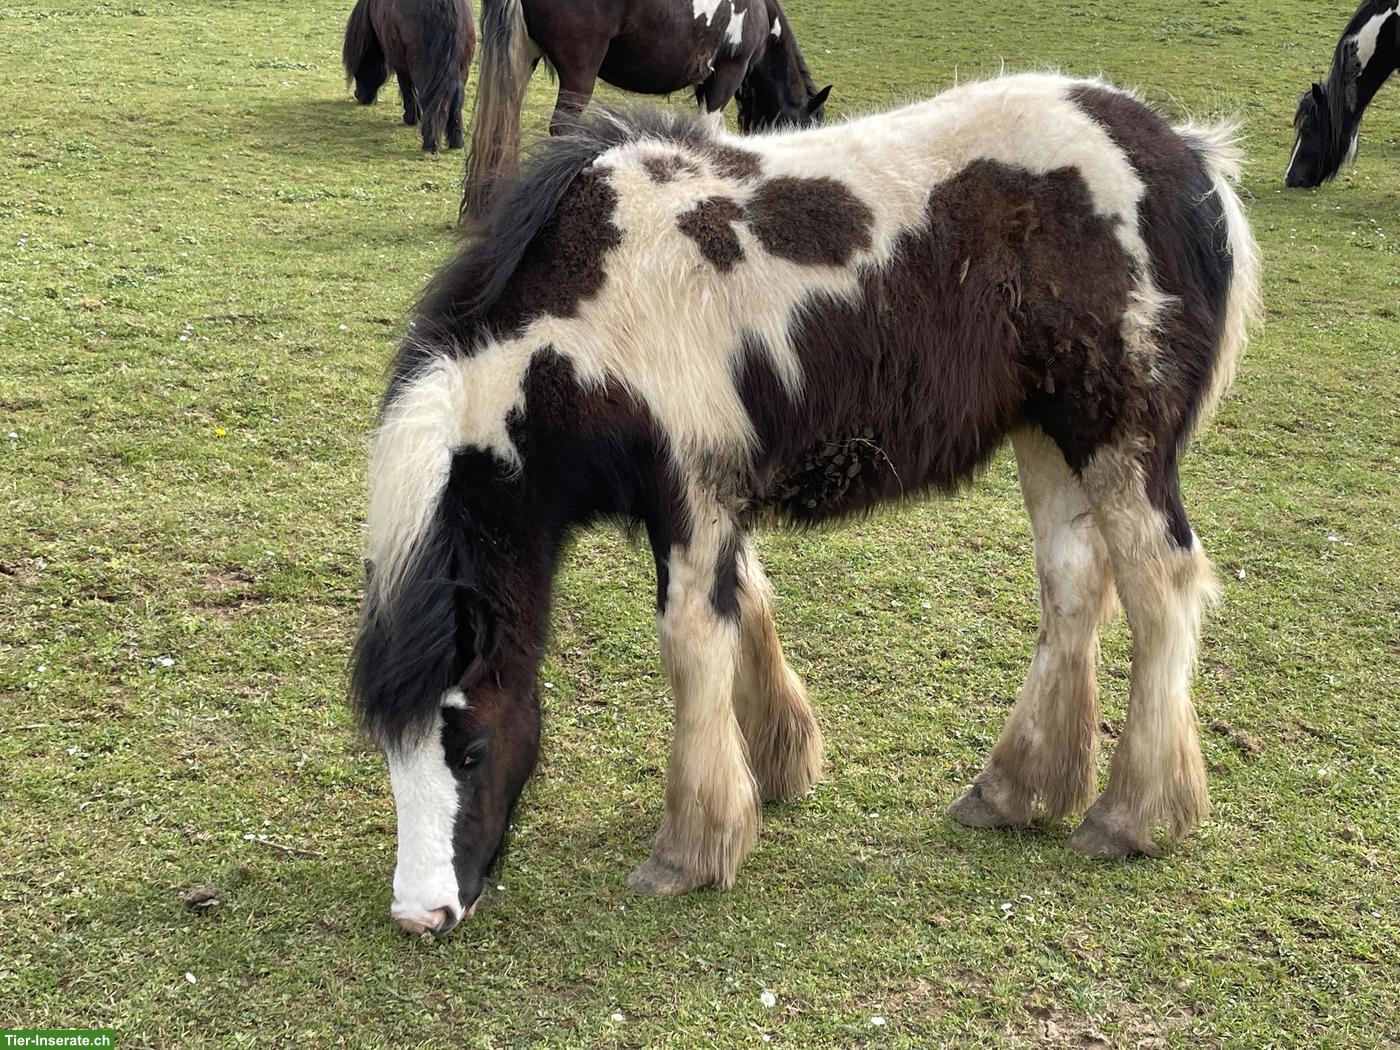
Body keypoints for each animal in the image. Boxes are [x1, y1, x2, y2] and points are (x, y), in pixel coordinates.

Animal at [342, 0, 476, 153]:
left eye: (359, 68)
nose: (358, 95)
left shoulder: (399, 61)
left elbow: (407, 88)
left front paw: (411, 118)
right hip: (461, 71)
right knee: (455, 103)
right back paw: (456, 142)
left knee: (431, 102)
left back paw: (430, 143)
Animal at [351, 72, 1261, 935]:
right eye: (388, 752)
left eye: (469, 747)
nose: (423, 915)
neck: (591, 305)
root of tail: (1188, 158)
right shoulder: (719, 495)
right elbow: (748, 604)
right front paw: (776, 766)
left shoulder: (688, 493)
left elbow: (692, 643)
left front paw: (691, 848)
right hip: (1048, 435)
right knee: (1072, 588)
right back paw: (1012, 791)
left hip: (1120, 442)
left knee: (1161, 592)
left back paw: (1130, 816)